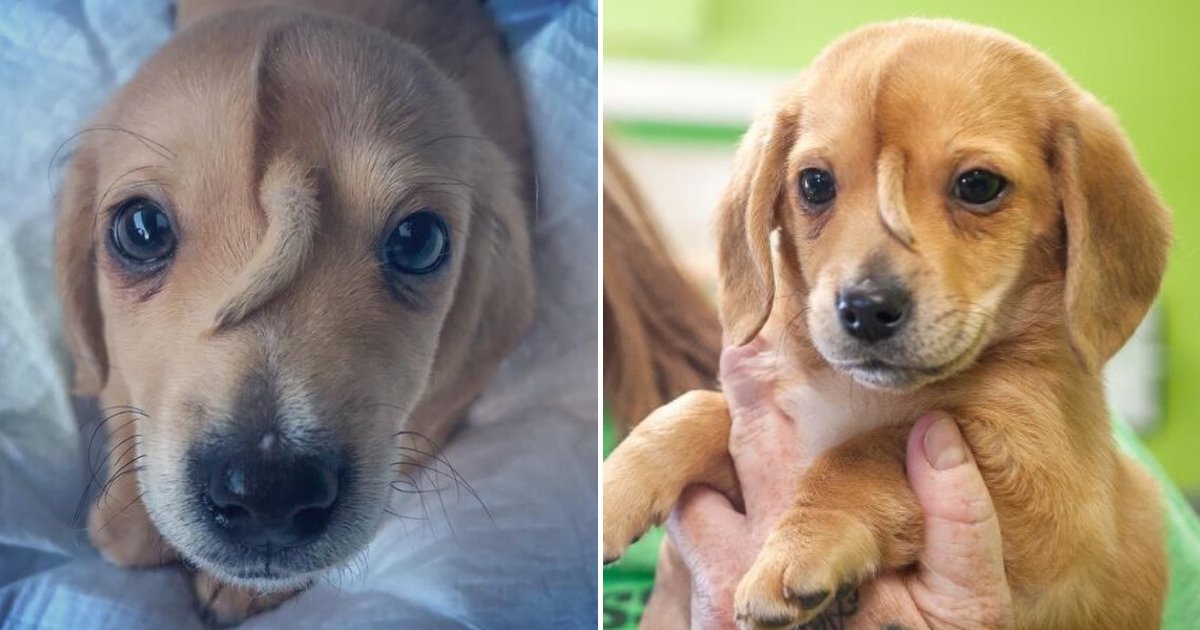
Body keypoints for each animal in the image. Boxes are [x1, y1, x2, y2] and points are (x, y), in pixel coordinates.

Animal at [55, 0, 535, 619]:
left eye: (418, 240)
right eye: (141, 229)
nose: (268, 494)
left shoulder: (427, 417)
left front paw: (240, 588)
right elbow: (123, 412)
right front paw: (126, 519)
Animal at [604, 19, 1166, 628]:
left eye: (978, 185)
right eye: (814, 183)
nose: (865, 308)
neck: (857, 393)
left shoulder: (1047, 497)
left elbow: (866, 452)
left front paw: (801, 547)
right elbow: (697, 409)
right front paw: (614, 489)